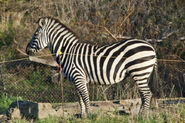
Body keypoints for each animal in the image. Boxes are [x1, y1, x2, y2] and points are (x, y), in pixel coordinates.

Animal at [25, 16, 156, 117]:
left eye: (35, 34)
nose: (26, 50)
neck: (67, 51)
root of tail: (150, 46)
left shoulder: (79, 76)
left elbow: (85, 97)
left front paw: (89, 115)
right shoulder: (76, 80)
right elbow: (80, 99)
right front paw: (83, 116)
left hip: (139, 72)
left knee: (147, 94)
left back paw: (143, 117)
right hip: (141, 74)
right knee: (143, 95)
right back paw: (140, 115)